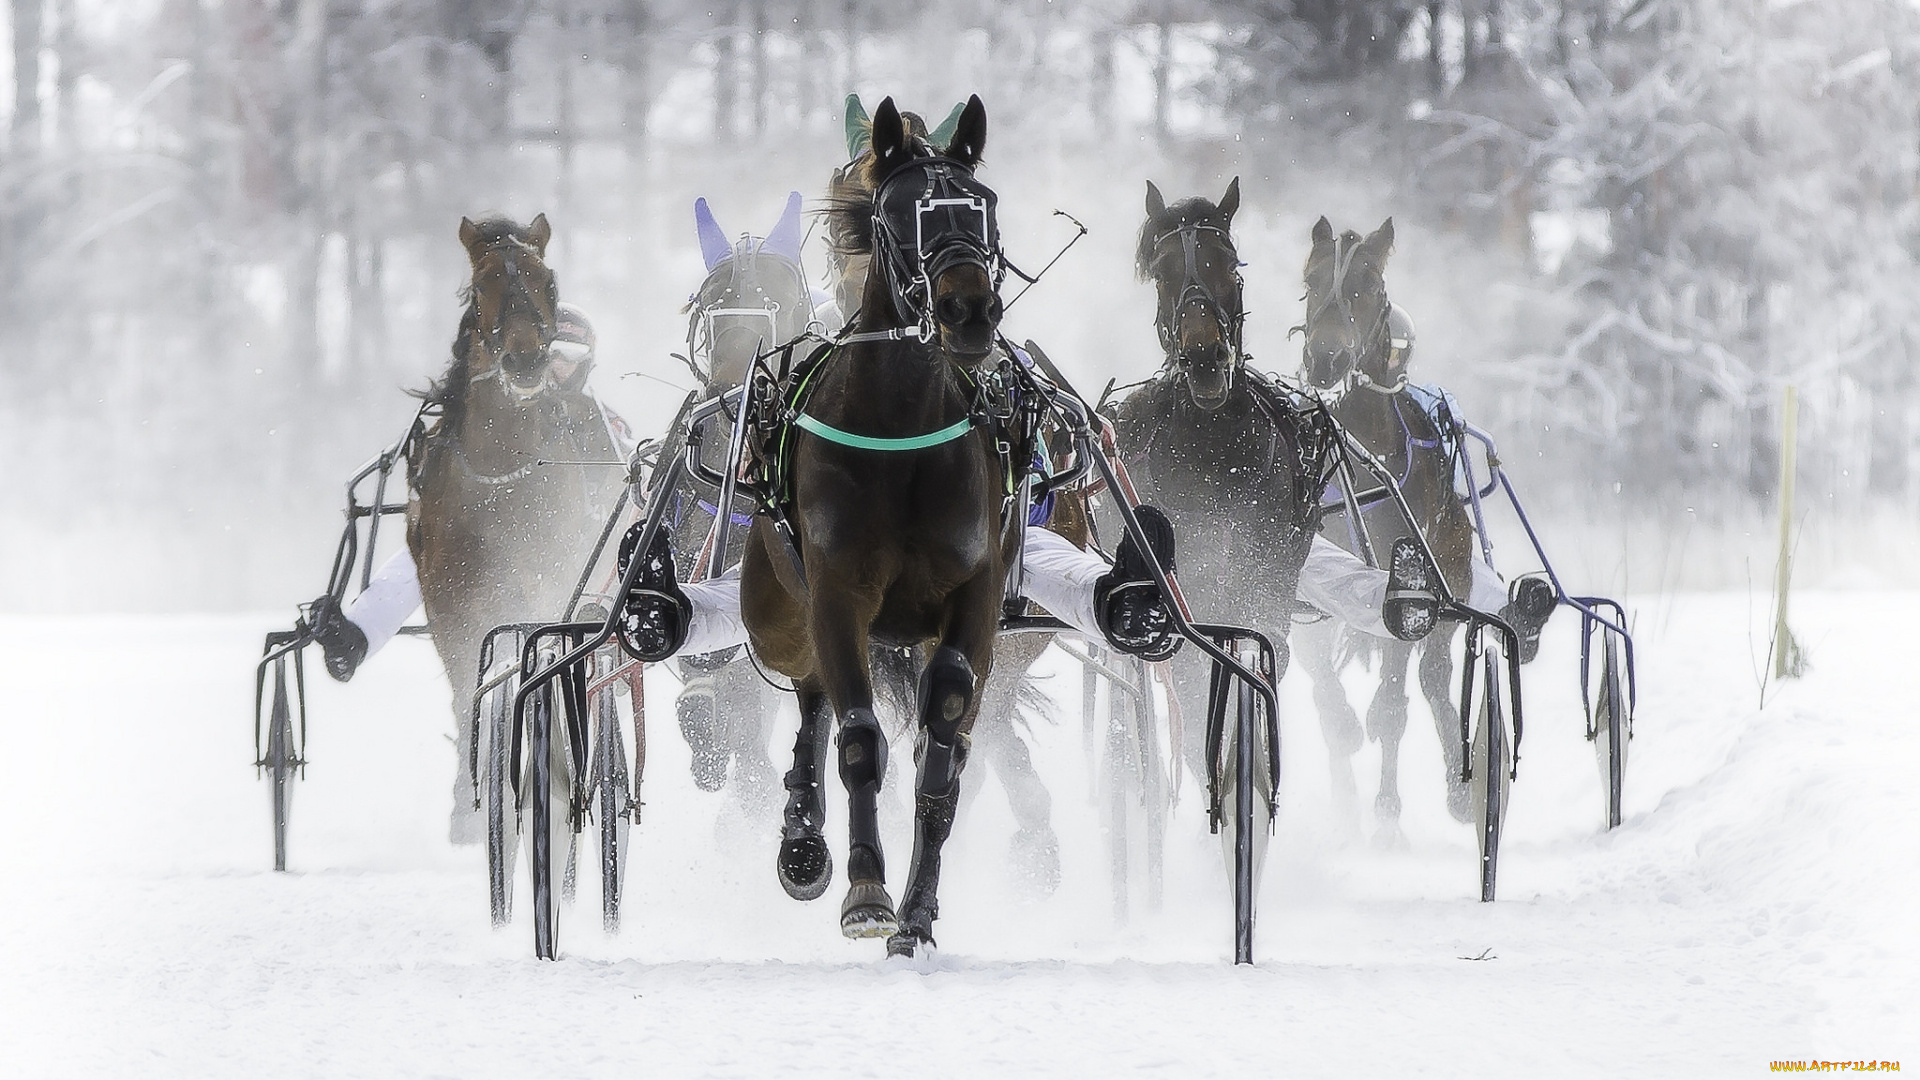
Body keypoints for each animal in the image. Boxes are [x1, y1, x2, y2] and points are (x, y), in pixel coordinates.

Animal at [408, 210, 625, 834]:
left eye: (546, 281)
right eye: (482, 285)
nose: (526, 360)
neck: (503, 476)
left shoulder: (551, 571)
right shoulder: (451, 597)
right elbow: (467, 682)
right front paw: (467, 802)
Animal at [733, 92, 1013, 949]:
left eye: (984, 205)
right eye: (899, 214)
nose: (967, 310)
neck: (901, 428)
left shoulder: (976, 594)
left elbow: (942, 737)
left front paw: (916, 914)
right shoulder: (836, 590)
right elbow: (856, 736)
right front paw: (865, 890)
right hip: (775, 608)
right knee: (812, 692)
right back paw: (803, 836)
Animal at [1297, 214, 1474, 826]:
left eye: (1368, 285)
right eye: (1311, 280)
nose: (1326, 359)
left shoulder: (1408, 576)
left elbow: (1397, 698)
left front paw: (1387, 809)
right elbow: (1322, 688)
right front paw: (1346, 731)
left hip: (1456, 568)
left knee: (1434, 676)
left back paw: (1453, 790)